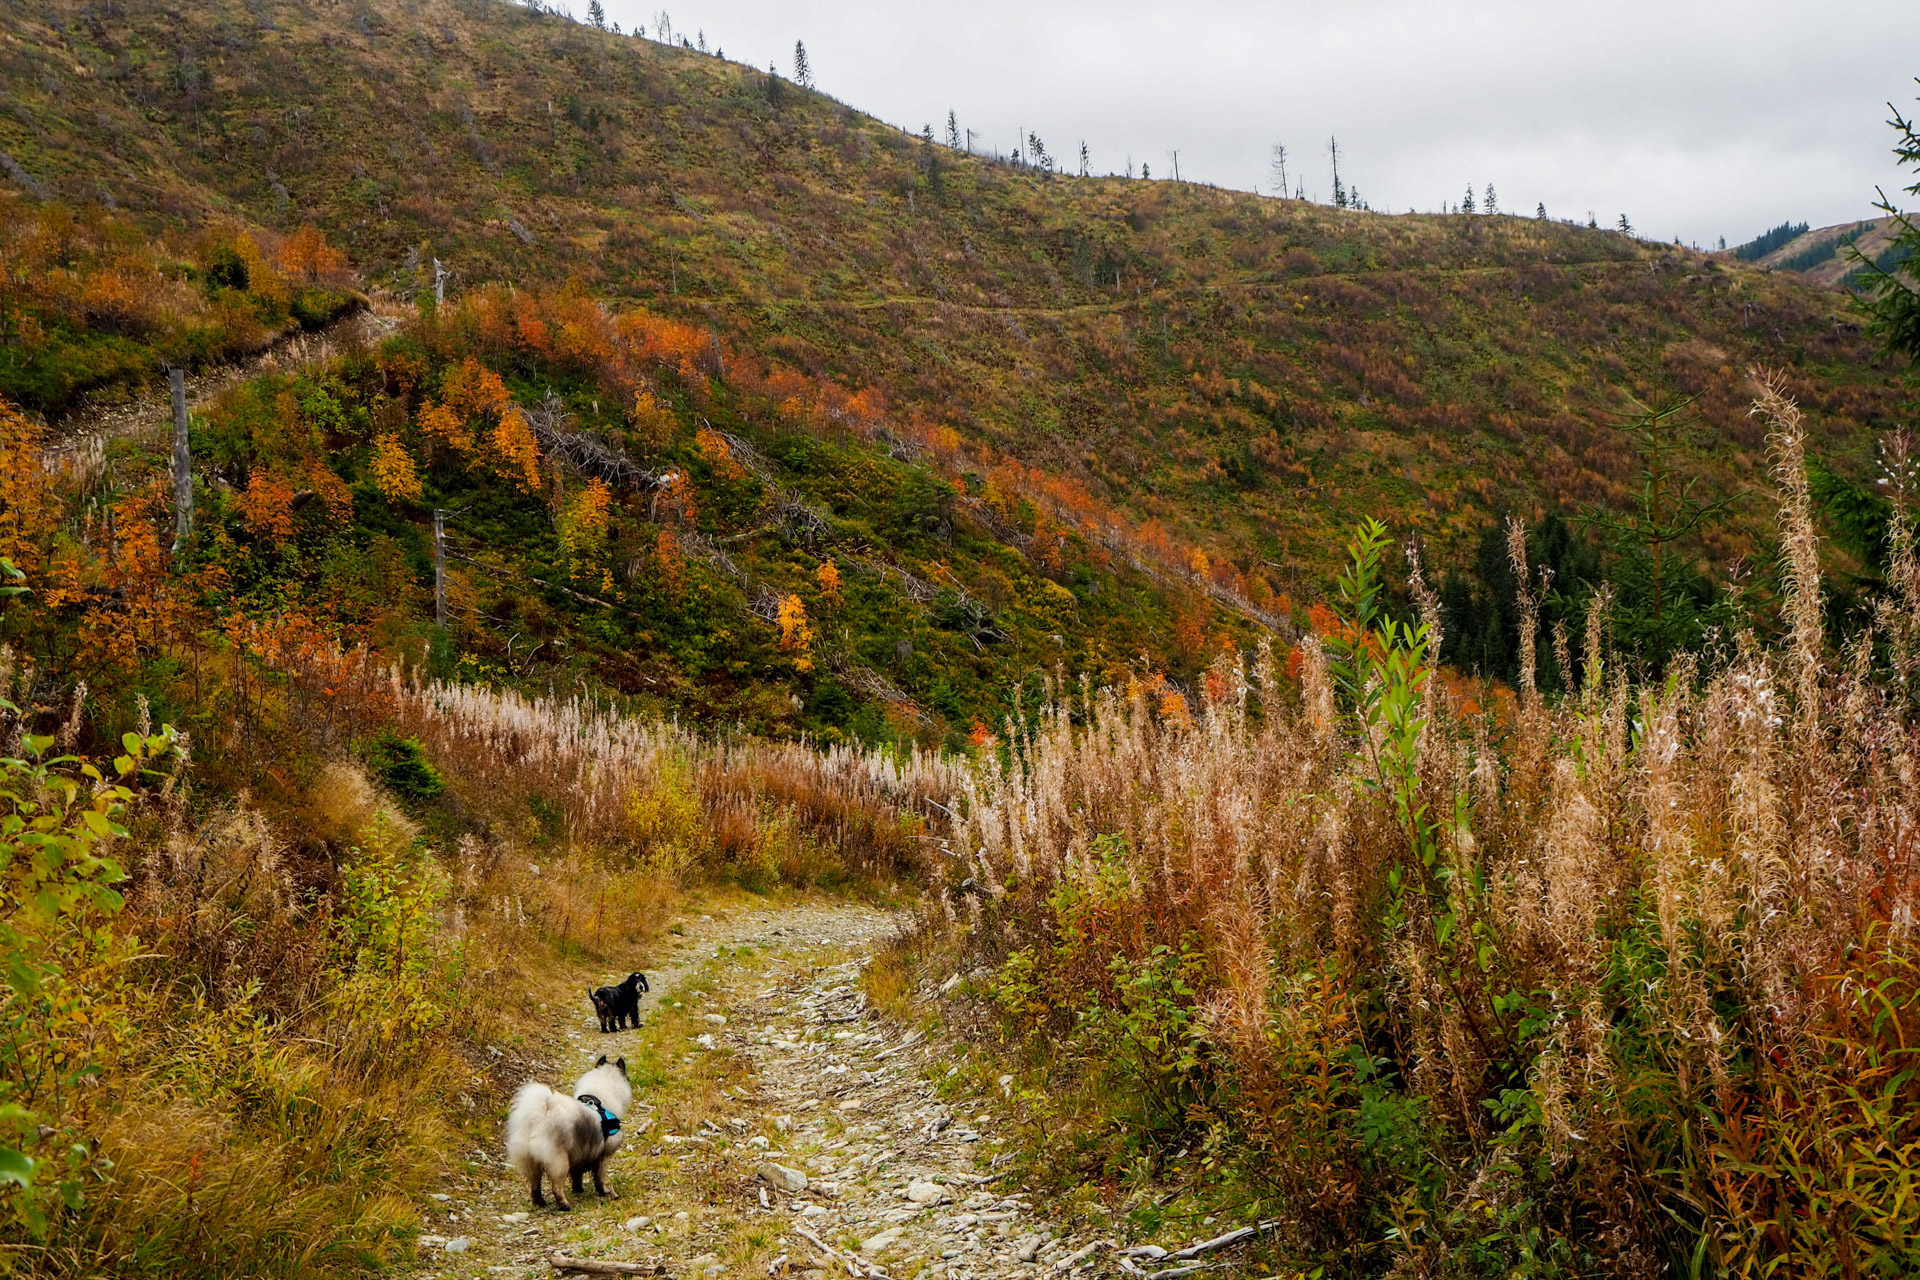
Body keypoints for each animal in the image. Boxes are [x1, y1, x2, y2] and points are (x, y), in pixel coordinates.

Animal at [506, 1059, 633, 1205]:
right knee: (556, 1187)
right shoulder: (604, 1156)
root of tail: (539, 1116)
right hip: (559, 1162)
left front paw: (578, 1189)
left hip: (531, 1163)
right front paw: (604, 1192)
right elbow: (599, 1178)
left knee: (535, 1185)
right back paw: (564, 1205)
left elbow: (577, 1176)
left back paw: (540, 1202)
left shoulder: (579, 1156)